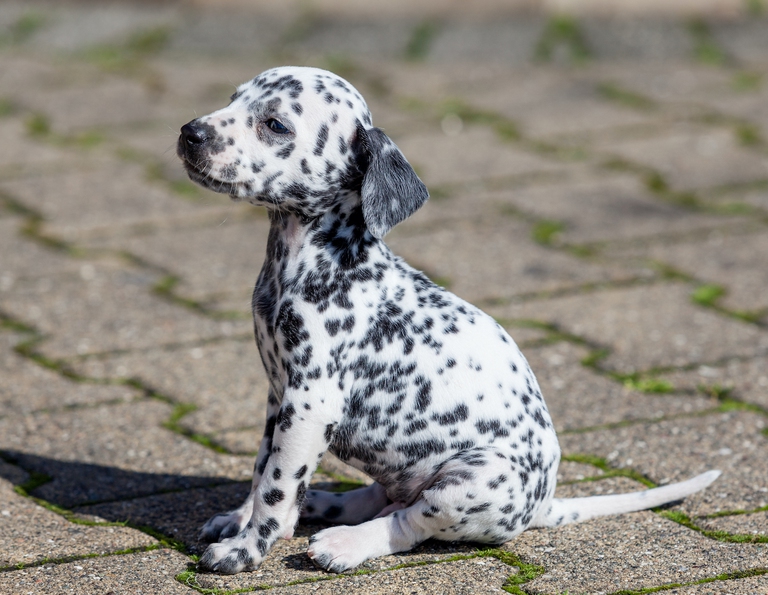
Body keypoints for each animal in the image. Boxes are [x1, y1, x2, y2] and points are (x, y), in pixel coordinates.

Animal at [176, 67, 720, 576]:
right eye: (233, 99)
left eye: (274, 124)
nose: (189, 132)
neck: (311, 261)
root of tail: (542, 506)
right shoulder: (278, 397)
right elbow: (262, 470)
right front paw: (239, 519)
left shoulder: (310, 402)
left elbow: (274, 488)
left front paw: (246, 549)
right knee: (380, 498)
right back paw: (324, 505)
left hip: (472, 479)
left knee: (409, 522)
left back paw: (345, 543)